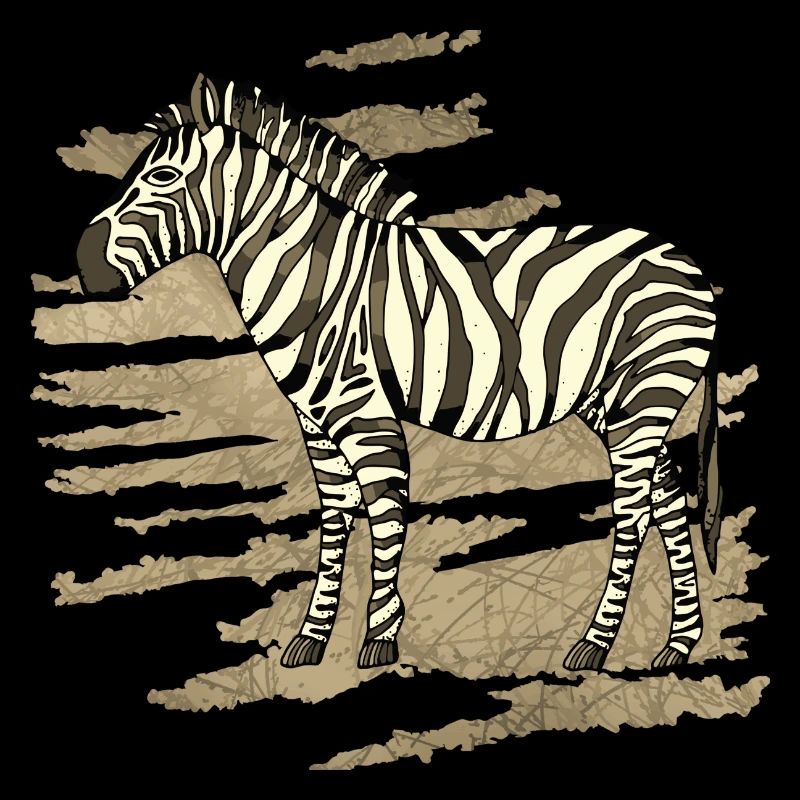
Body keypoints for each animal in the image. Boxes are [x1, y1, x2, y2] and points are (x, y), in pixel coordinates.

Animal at [76, 74, 721, 672]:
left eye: (162, 178)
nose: (82, 262)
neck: (310, 273)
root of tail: (688, 263)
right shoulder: (316, 423)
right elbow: (335, 522)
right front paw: (313, 637)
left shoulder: (365, 415)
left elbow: (385, 515)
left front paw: (380, 635)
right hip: (612, 400)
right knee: (667, 494)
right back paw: (679, 642)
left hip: (644, 390)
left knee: (634, 510)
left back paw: (595, 644)